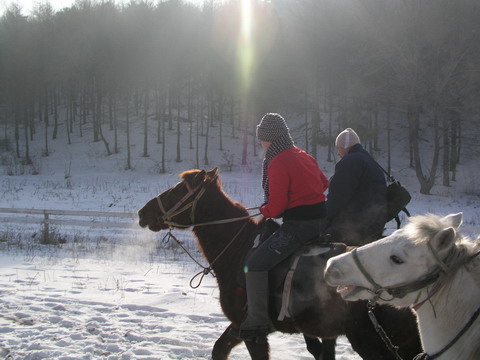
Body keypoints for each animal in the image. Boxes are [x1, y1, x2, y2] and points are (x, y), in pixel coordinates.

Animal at [138, 169, 420, 360]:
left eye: (178, 190)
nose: (143, 212)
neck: (238, 249)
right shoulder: (240, 327)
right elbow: (219, 349)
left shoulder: (253, 332)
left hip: (373, 343)